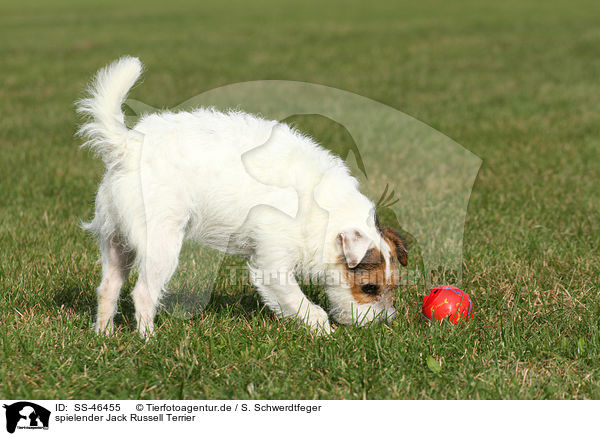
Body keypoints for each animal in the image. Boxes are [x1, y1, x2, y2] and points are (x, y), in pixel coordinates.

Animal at [78, 57, 408, 338]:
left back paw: (103, 335)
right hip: (161, 244)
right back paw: (148, 339)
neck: (322, 208)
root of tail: (127, 147)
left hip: (116, 242)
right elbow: (299, 303)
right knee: (143, 293)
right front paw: (323, 331)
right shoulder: (272, 265)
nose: (384, 325)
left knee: (107, 289)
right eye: (369, 288)